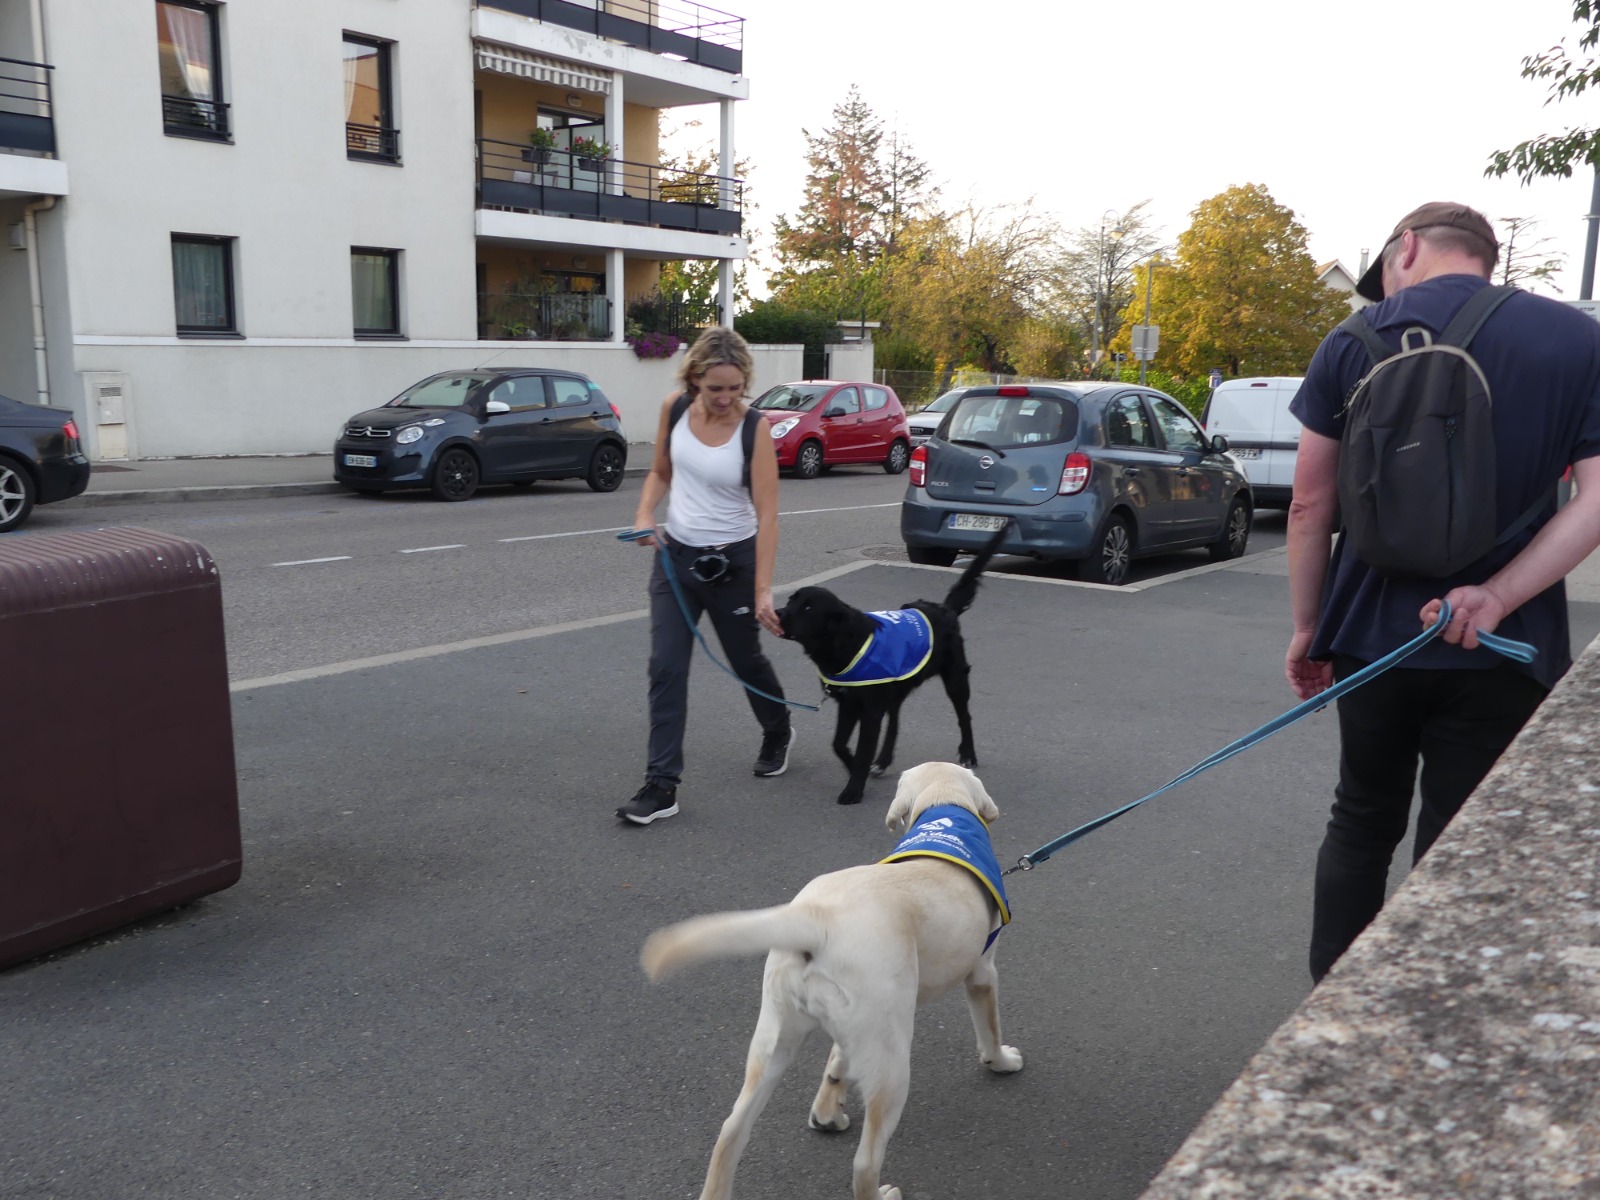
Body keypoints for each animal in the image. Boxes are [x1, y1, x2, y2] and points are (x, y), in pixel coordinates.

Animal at [640, 762, 1023, 1200]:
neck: (946, 809)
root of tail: (817, 921)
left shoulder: (853, 1027)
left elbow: (837, 1060)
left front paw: (826, 1111)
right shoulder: (982, 973)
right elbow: (990, 1029)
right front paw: (1002, 1061)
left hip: (777, 1039)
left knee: (731, 1129)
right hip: (892, 1061)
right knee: (864, 1161)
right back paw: (880, 1193)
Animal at [776, 523, 1008, 805]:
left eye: (808, 608)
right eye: (792, 600)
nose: (777, 613)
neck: (847, 643)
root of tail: (944, 609)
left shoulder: (869, 709)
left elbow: (863, 750)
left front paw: (854, 789)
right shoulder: (849, 704)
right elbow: (839, 744)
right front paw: (855, 768)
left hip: (955, 679)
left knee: (965, 717)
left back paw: (968, 754)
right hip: (896, 687)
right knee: (895, 723)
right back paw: (883, 761)